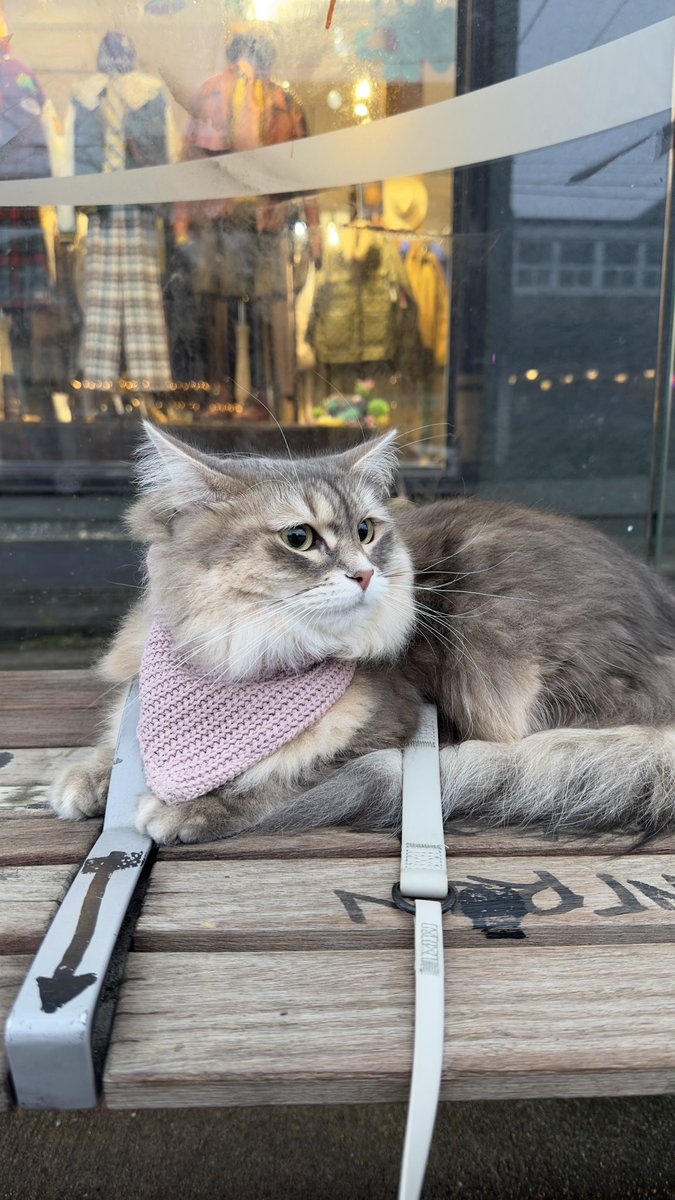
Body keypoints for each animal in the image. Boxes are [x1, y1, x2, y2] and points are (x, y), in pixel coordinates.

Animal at [48, 424, 675, 844]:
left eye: (367, 532)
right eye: (299, 538)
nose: (366, 573)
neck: (246, 662)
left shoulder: (394, 725)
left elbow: (290, 776)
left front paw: (191, 808)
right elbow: (120, 750)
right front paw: (89, 777)